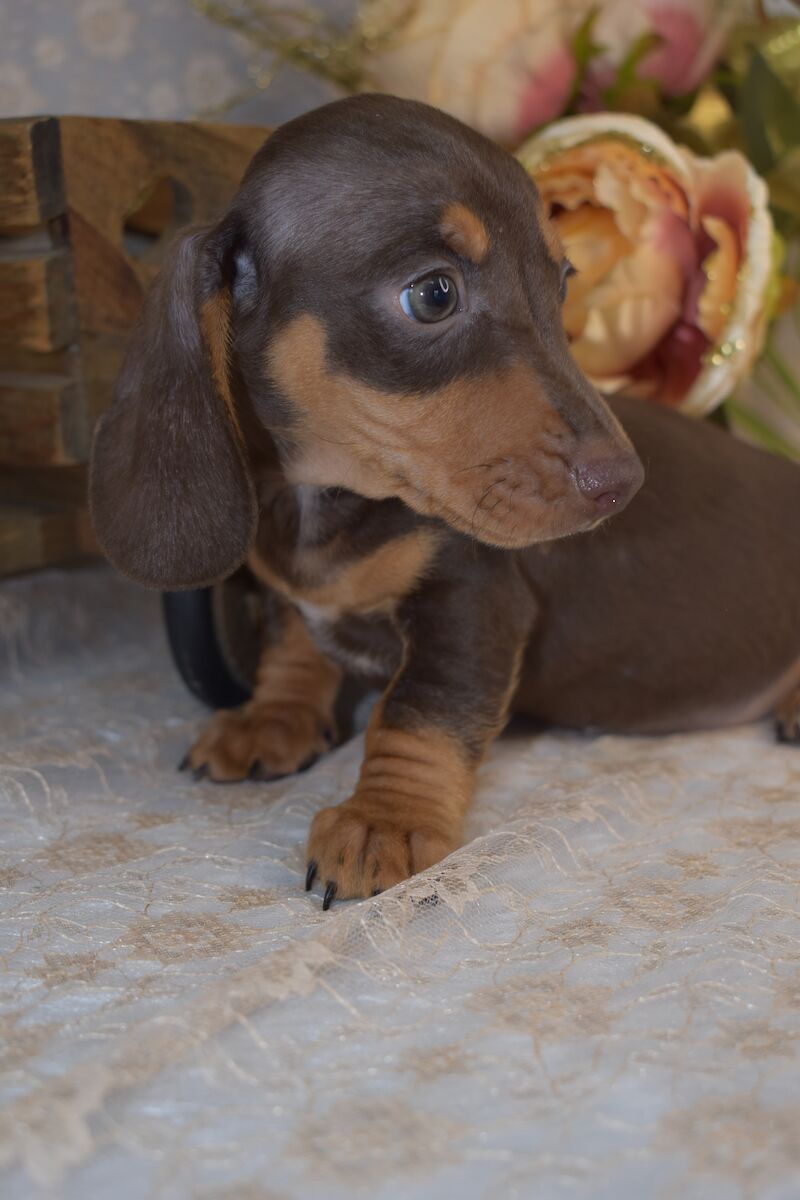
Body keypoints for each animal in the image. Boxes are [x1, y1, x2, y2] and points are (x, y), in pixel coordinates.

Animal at [90, 93, 800, 907]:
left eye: (562, 281)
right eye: (433, 294)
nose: (622, 483)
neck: (331, 496)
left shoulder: (474, 599)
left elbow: (417, 713)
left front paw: (385, 820)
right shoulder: (295, 590)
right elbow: (295, 648)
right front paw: (274, 718)